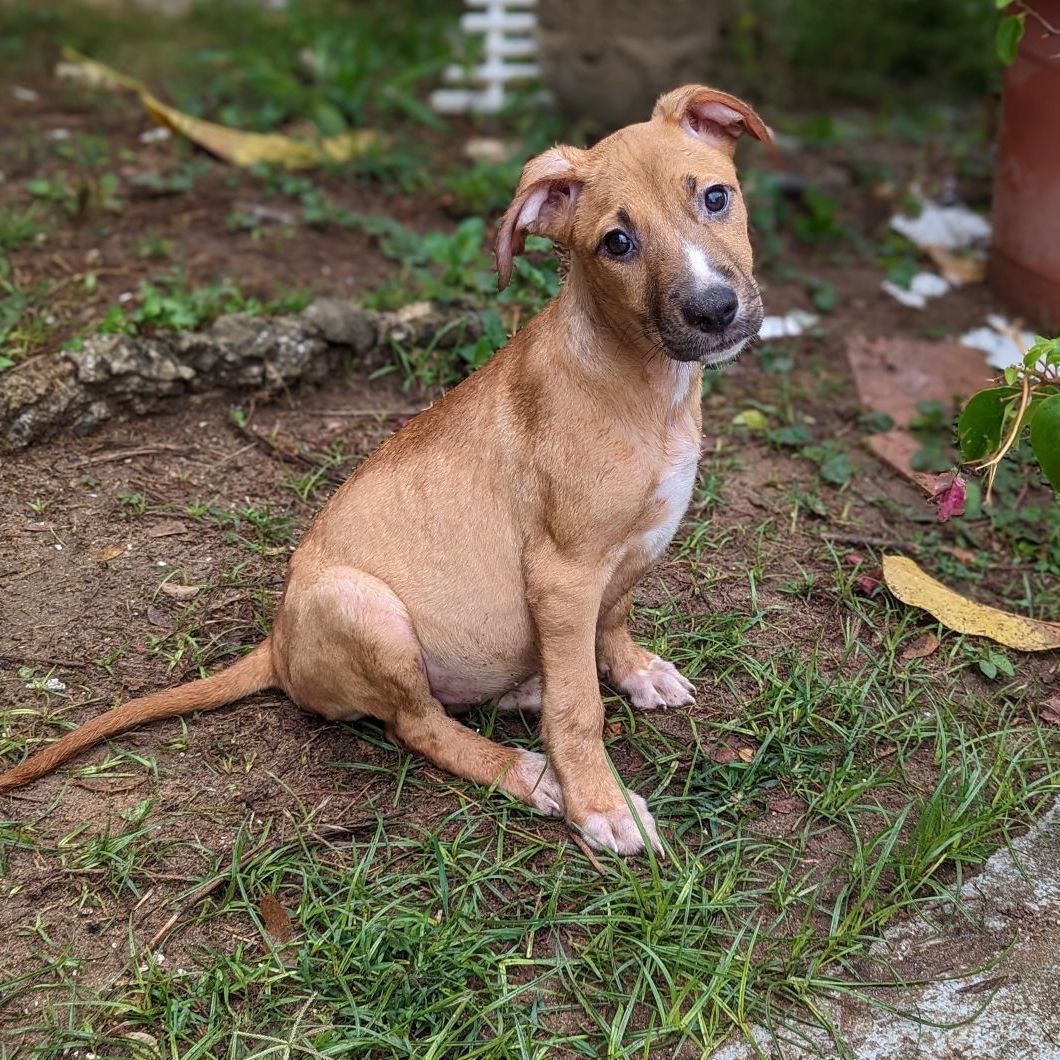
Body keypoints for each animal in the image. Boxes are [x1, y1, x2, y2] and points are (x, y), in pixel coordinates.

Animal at [0, 86, 771, 856]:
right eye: (617, 243)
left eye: (715, 197)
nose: (714, 309)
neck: (644, 379)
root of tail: (277, 645)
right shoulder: (564, 571)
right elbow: (579, 705)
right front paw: (598, 803)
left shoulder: (630, 552)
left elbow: (612, 620)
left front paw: (635, 672)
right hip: (364, 609)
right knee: (418, 723)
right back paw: (524, 769)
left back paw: (523, 690)